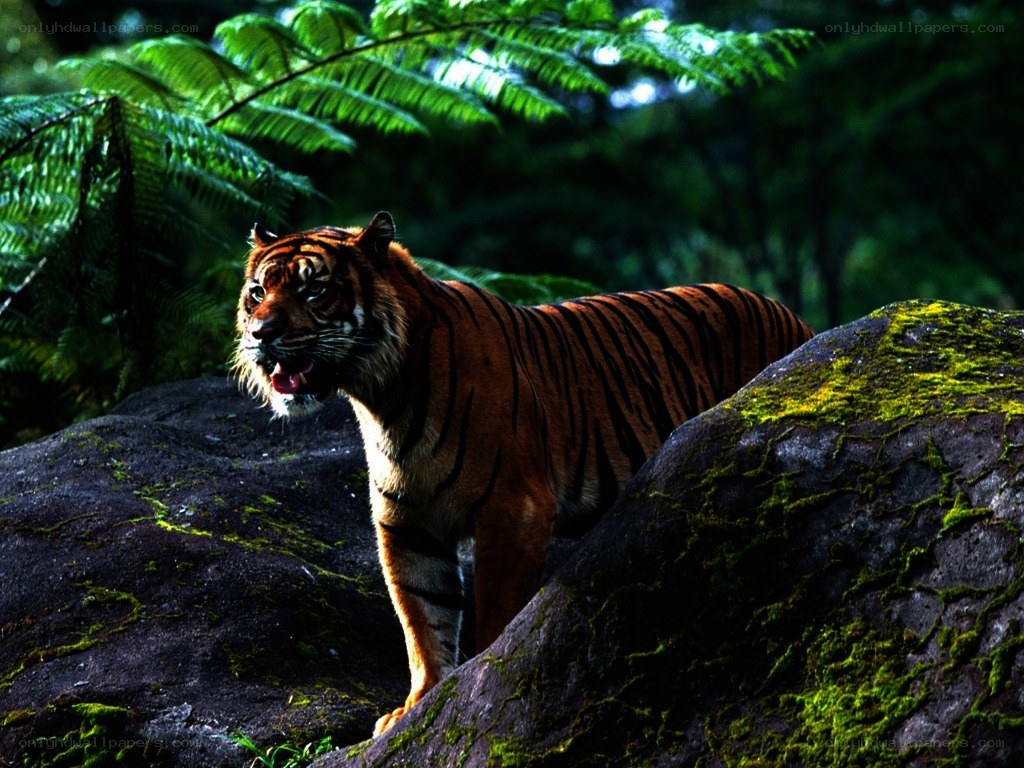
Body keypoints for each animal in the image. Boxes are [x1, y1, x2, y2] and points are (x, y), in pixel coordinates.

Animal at [234, 211, 814, 736]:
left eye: (314, 290)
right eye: (258, 292)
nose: (261, 334)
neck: (383, 395)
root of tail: (797, 320)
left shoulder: (514, 508)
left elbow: (494, 610)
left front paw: (472, 687)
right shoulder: (408, 524)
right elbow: (421, 618)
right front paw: (417, 704)